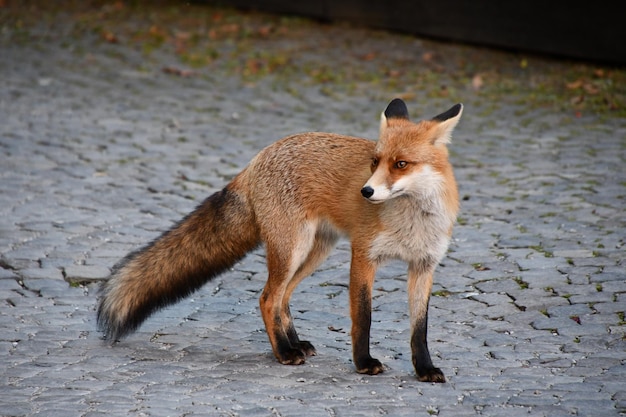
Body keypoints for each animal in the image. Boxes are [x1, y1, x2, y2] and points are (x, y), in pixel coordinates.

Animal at [96, 98, 458, 380]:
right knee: (268, 297)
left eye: (401, 164)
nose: (366, 192)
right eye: (374, 161)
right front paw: (363, 363)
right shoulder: (364, 256)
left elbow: (420, 329)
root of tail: (259, 157)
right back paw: (284, 353)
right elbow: (363, 319)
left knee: (283, 298)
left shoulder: (424, 266)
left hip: (314, 252)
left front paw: (425, 370)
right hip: (293, 249)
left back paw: (293, 344)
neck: (412, 222)